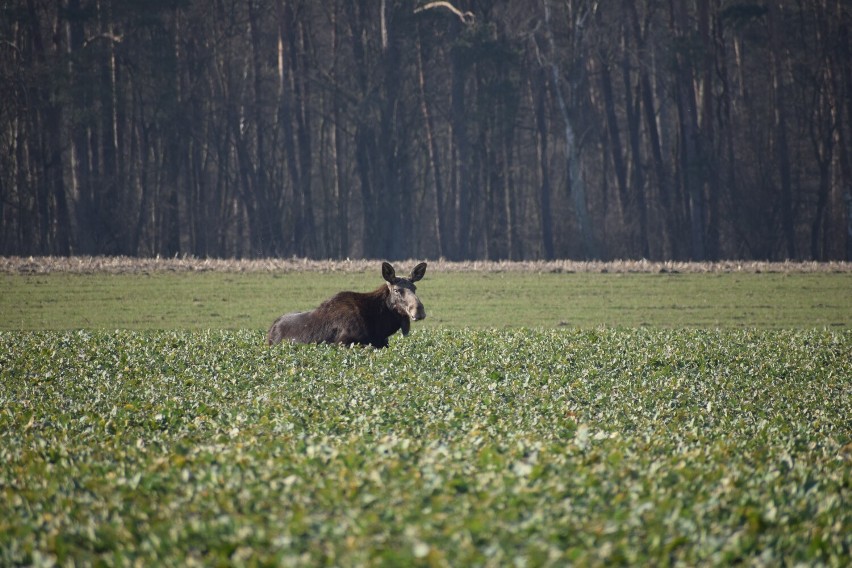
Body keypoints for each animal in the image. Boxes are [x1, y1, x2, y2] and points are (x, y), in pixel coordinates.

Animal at [266, 260, 426, 348]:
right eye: (397, 290)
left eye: (415, 288)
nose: (419, 310)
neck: (380, 326)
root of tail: (271, 329)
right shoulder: (344, 343)